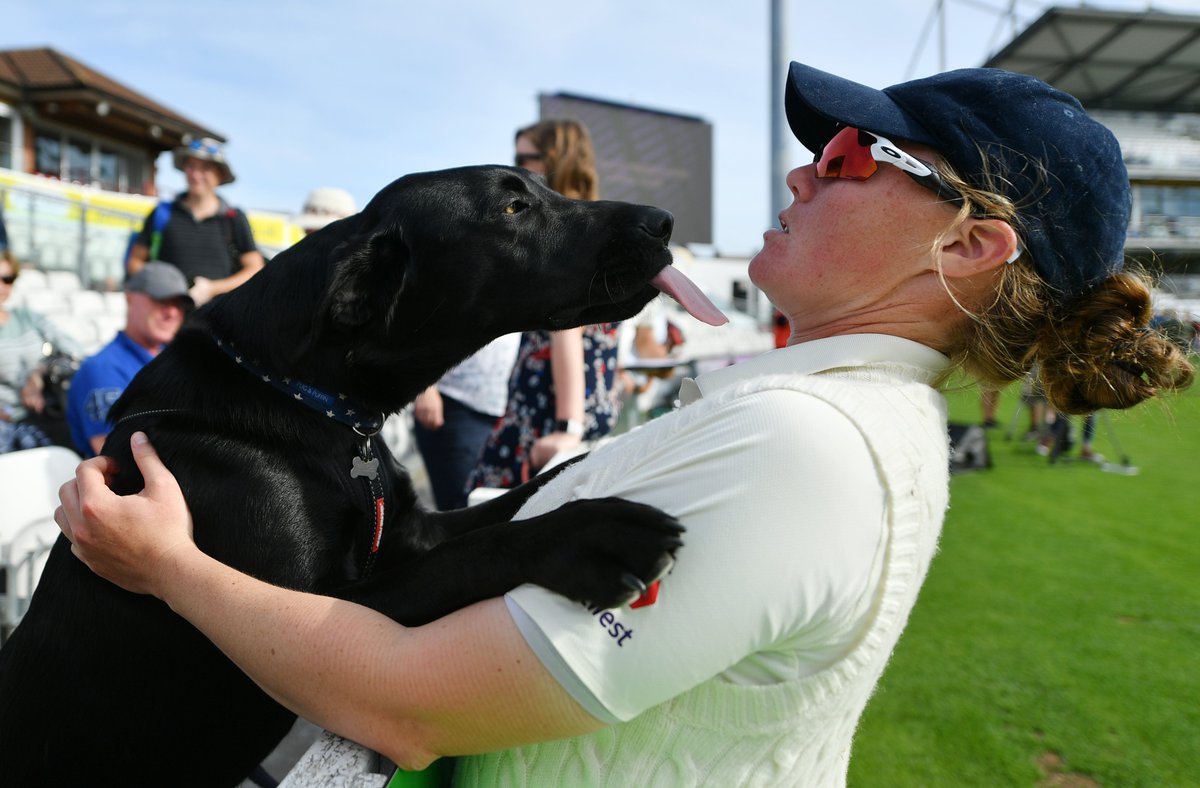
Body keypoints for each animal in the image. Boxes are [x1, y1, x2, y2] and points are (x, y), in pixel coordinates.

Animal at [2, 163, 696, 782]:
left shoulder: (414, 531)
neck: (304, 398)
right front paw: (590, 537)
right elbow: (480, 548)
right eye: (512, 207)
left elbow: (518, 498)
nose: (664, 222)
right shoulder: (310, 607)